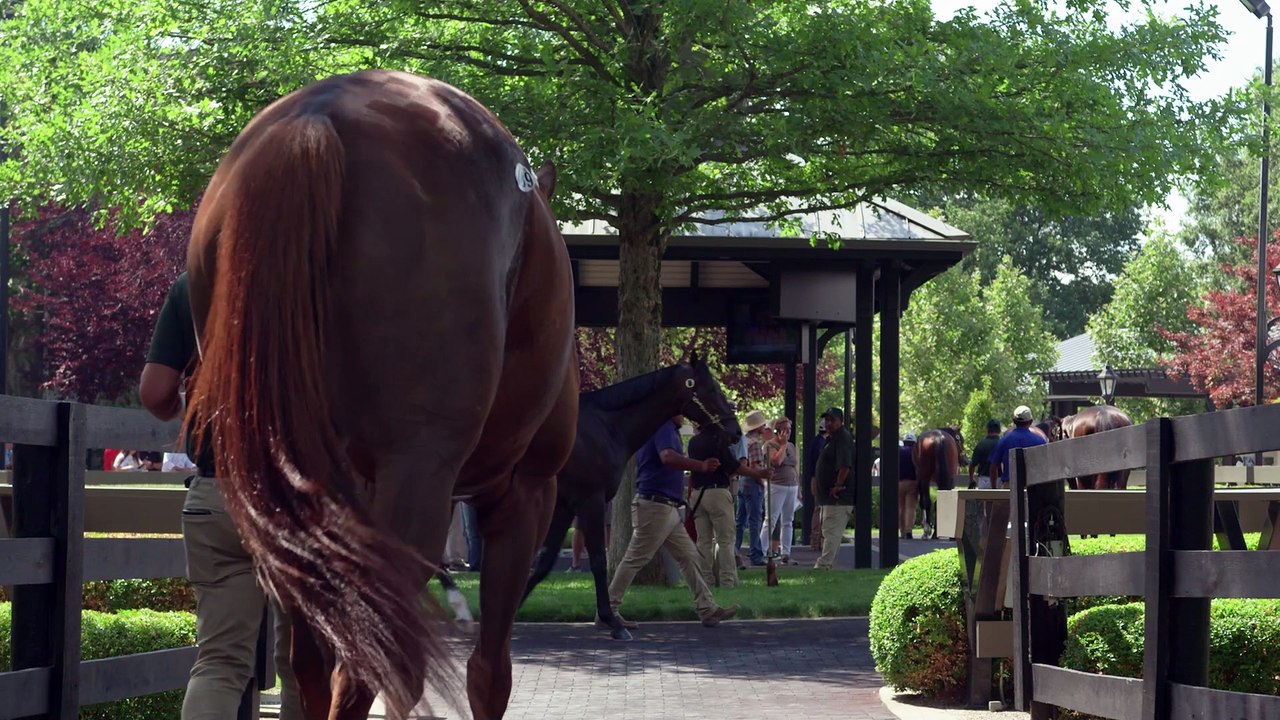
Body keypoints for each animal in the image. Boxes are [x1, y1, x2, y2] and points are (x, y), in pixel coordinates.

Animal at [183, 70, 578, 720]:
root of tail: (320, 113)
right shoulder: (524, 493)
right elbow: (488, 673)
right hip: (413, 486)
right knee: (361, 669)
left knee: (315, 666)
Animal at [523, 357, 741, 641]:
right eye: (712, 389)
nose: (736, 431)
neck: (604, 427)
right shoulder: (590, 501)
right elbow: (598, 560)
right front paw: (612, 621)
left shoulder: (565, 506)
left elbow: (543, 562)